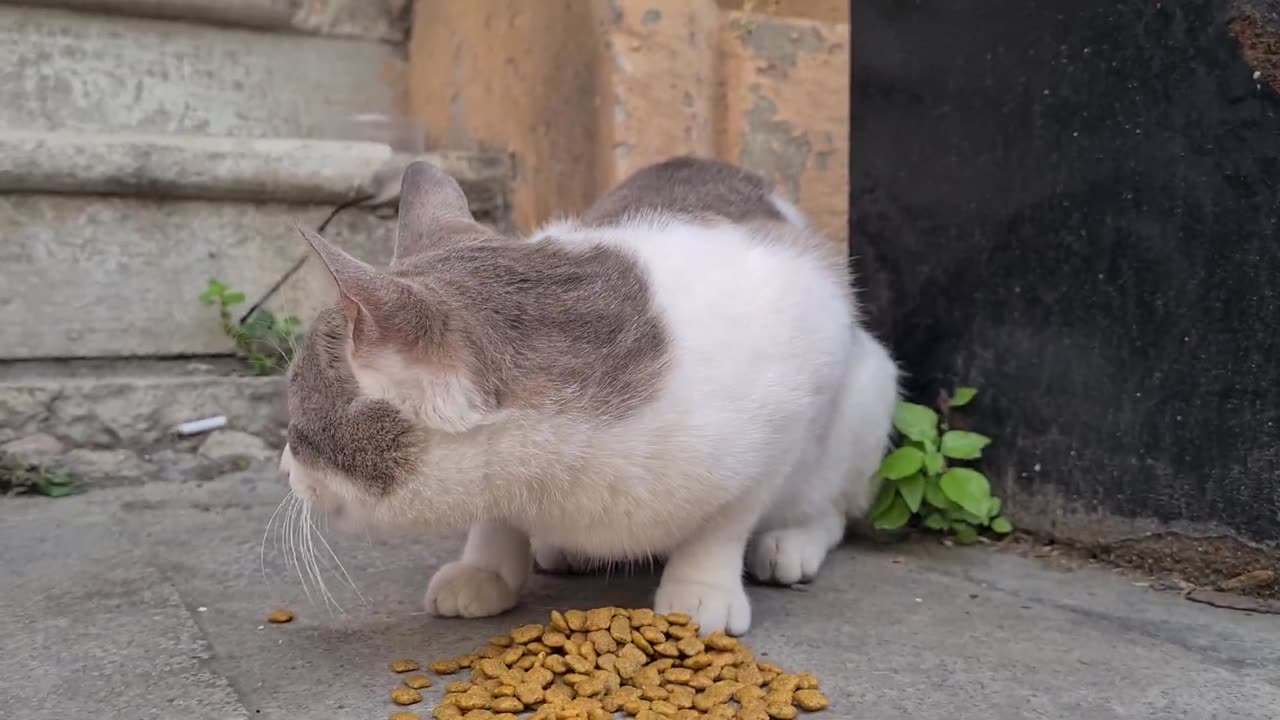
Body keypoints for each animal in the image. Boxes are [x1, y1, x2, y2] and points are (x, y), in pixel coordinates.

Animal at [280, 154, 901, 630]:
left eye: (297, 418)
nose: (283, 467)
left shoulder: (790, 404)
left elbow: (726, 519)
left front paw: (702, 586)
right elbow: (496, 516)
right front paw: (485, 567)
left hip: (869, 390)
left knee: (835, 506)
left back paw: (790, 543)